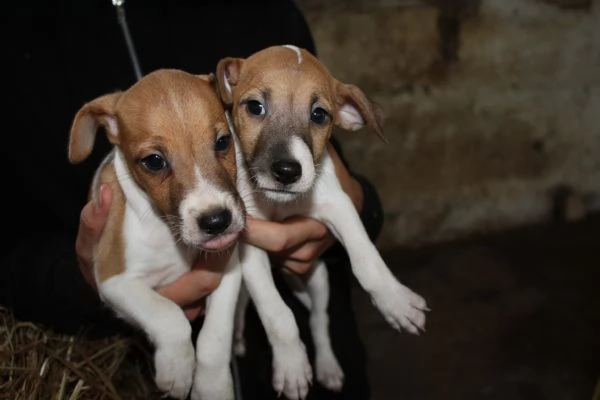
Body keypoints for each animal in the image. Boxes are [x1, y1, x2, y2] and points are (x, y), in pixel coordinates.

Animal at [67, 69, 243, 400]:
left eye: (223, 142)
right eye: (154, 161)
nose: (217, 220)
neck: (168, 234)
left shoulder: (228, 268)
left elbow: (215, 337)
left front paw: (212, 385)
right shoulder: (115, 281)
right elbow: (169, 316)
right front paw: (176, 369)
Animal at [218, 45, 428, 396]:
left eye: (319, 115)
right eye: (255, 107)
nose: (287, 171)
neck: (278, 205)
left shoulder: (339, 206)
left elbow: (366, 259)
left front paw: (395, 301)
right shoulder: (249, 247)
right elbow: (276, 312)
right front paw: (291, 364)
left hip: (317, 279)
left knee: (318, 320)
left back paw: (328, 367)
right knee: (247, 307)